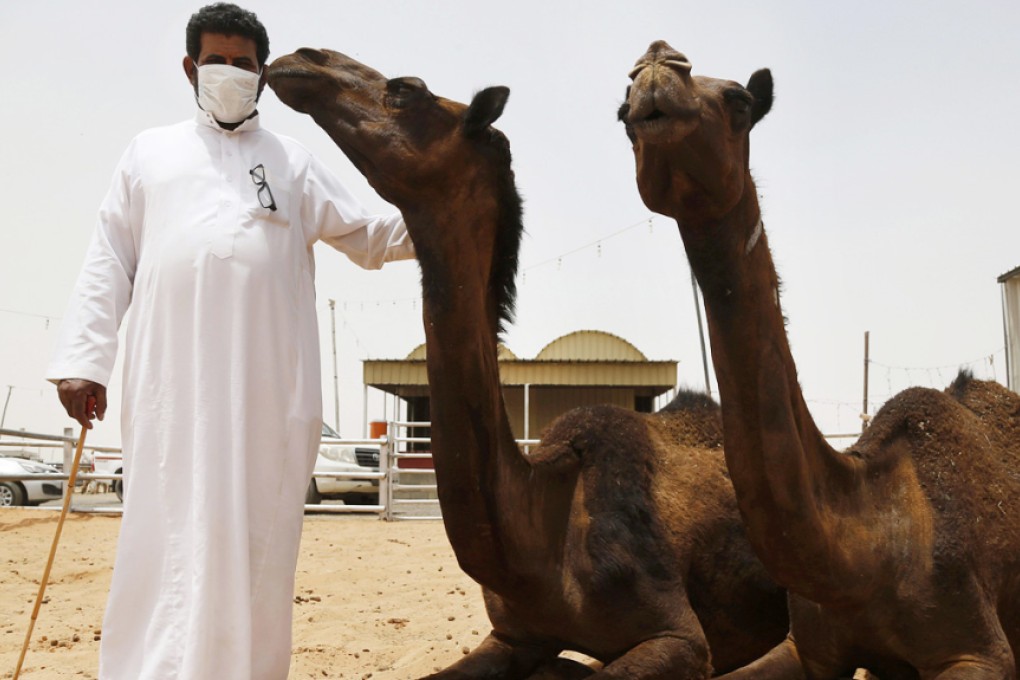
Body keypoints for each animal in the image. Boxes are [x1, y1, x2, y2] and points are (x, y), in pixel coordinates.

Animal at [619, 40, 1020, 679]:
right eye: (620, 113)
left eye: (740, 99)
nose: (658, 63)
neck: (869, 549)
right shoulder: (809, 647)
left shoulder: (978, 648)